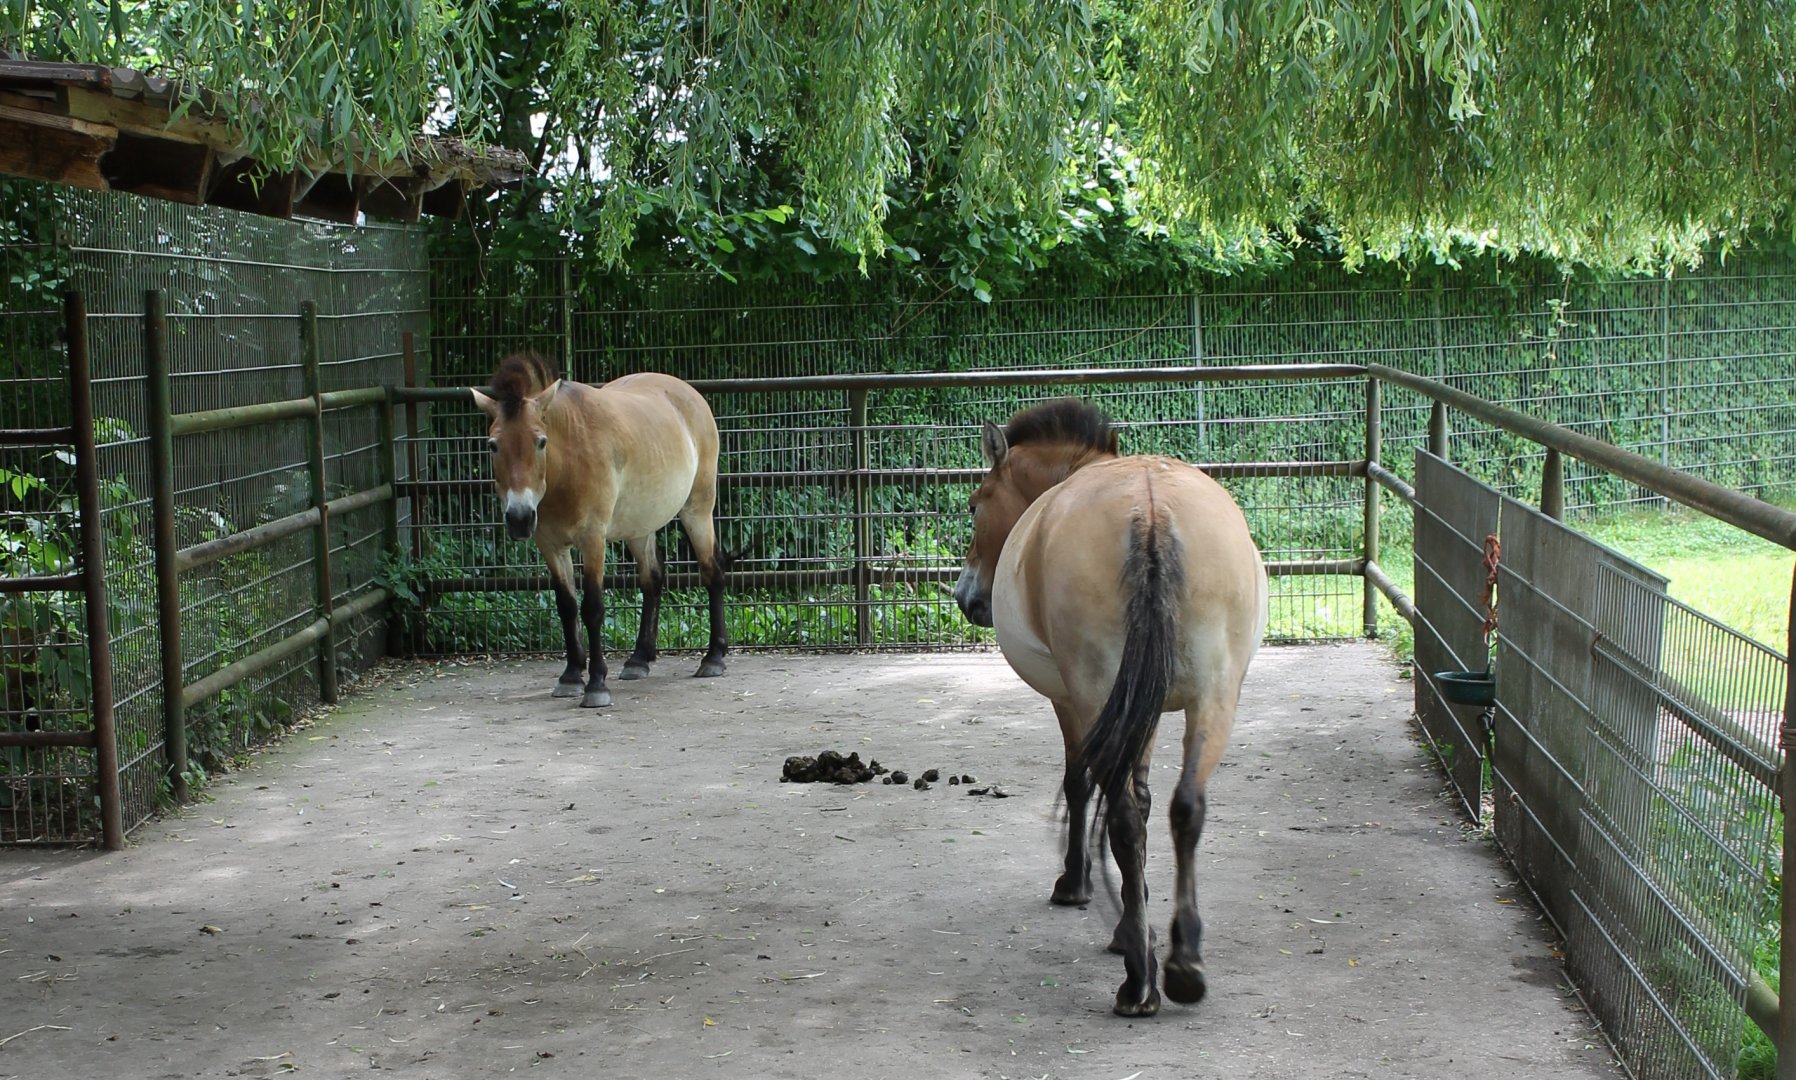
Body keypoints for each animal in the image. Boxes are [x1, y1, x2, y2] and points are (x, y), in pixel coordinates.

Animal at [471, 353, 730, 708]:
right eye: (493, 445)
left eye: (541, 442)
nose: (520, 518)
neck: (565, 467)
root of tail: (690, 394)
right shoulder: (550, 545)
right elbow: (566, 606)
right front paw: (570, 676)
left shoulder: (592, 539)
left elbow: (592, 607)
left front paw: (595, 685)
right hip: (639, 526)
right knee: (652, 578)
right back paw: (638, 660)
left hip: (698, 509)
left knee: (711, 571)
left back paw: (713, 658)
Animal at [953, 399, 1267, 1017]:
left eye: (976, 504)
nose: (966, 597)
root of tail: (1151, 511)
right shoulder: (1142, 710)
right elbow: (1143, 803)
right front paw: (1132, 913)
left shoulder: (1074, 703)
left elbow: (1080, 785)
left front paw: (1078, 888)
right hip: (1215, 699)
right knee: (1185, 807)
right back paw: (1182, 965)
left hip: (1101, 693)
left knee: (1119, 817)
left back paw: (1139, 982)